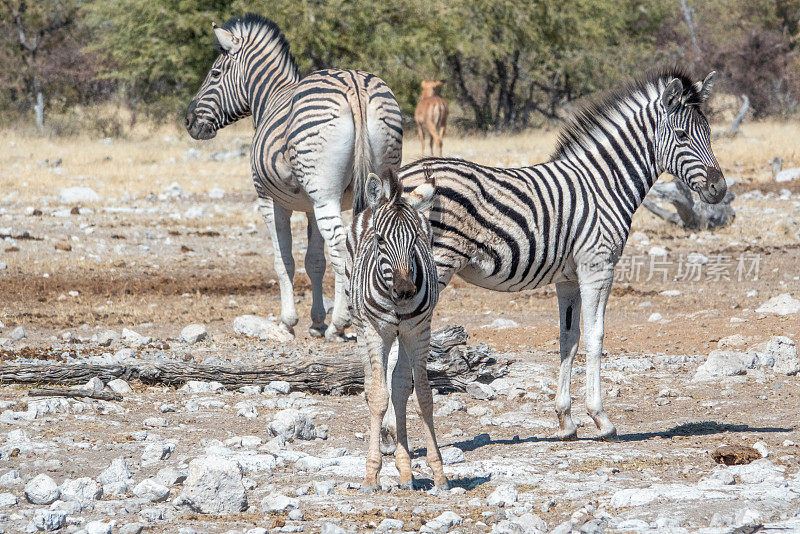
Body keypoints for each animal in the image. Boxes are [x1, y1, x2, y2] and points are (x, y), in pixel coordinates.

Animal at [346, 170, 450, 492]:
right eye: (380, 240)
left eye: (416, 239)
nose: (405, 291)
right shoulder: (376, 332)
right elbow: (379, 396)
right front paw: (371, 475)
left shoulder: (419, 332)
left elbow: (423, 397)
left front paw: (439, 472)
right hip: (360, 324)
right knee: (372, 383)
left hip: (404, 334)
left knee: (401, 385)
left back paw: (405, 471)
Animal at [400, 69, 724, 442]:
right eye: (683, 135)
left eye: (709, 134)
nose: (720, 189)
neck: (604, 185)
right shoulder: (597, 266)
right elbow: (596, 336)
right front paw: (601, 419)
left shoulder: (568, 278)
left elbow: (568, 339)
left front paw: (566, 420)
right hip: (434, 265)